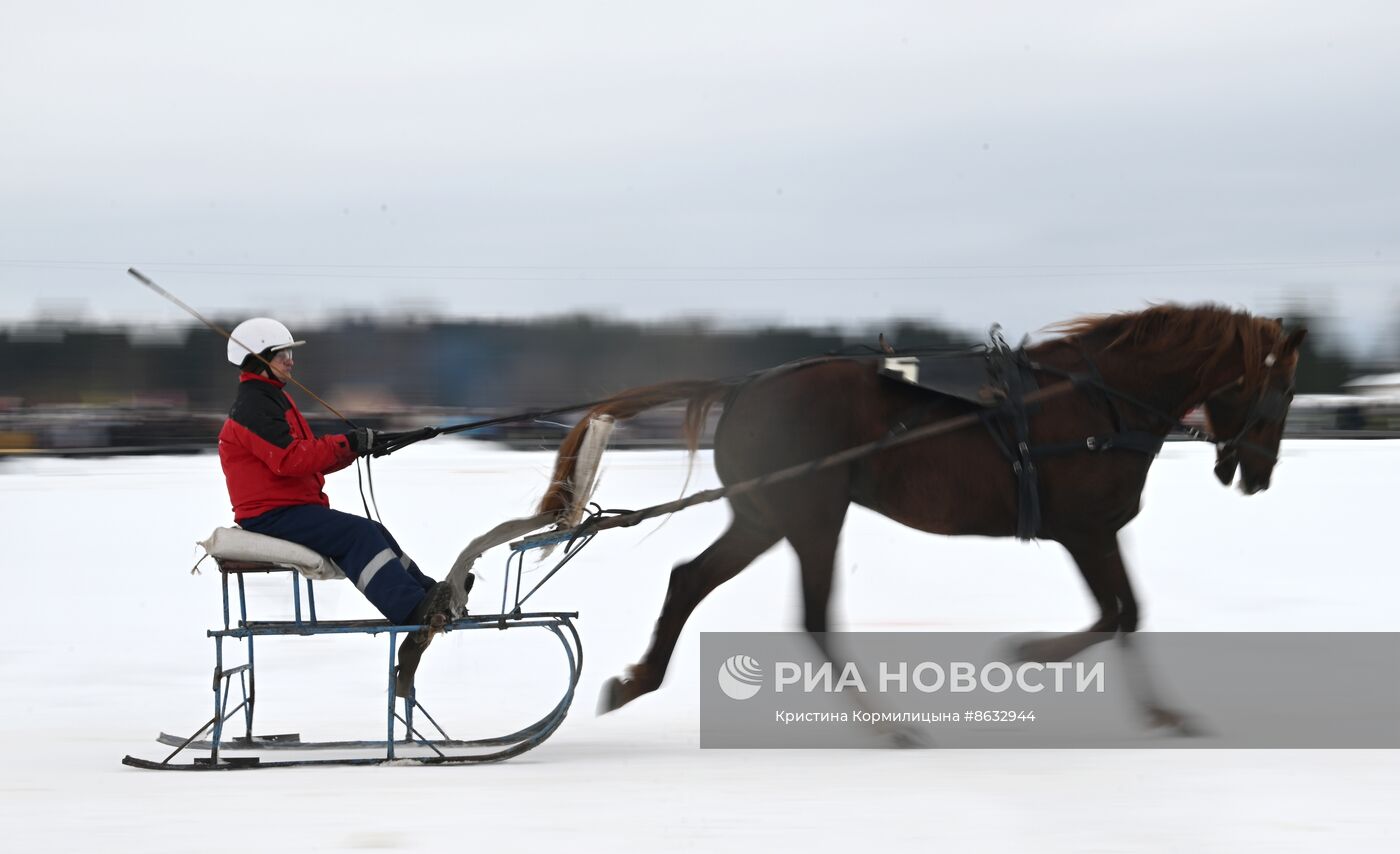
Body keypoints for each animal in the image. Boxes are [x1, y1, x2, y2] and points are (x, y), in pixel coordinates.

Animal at [537, 302, 1299, 714]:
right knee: (813, 617)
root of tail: (745, 384)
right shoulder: (1086, 530)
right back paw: (889, 723)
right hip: (811, 517)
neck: (1097, 400)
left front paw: (1157, 709)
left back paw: (638, 680)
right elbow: (1118, 614)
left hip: (766, 516)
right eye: (1285, 390)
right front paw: (1033, 654)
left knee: (690, 579)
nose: (1260, 474)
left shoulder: (1092, 532)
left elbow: (1126, 613)